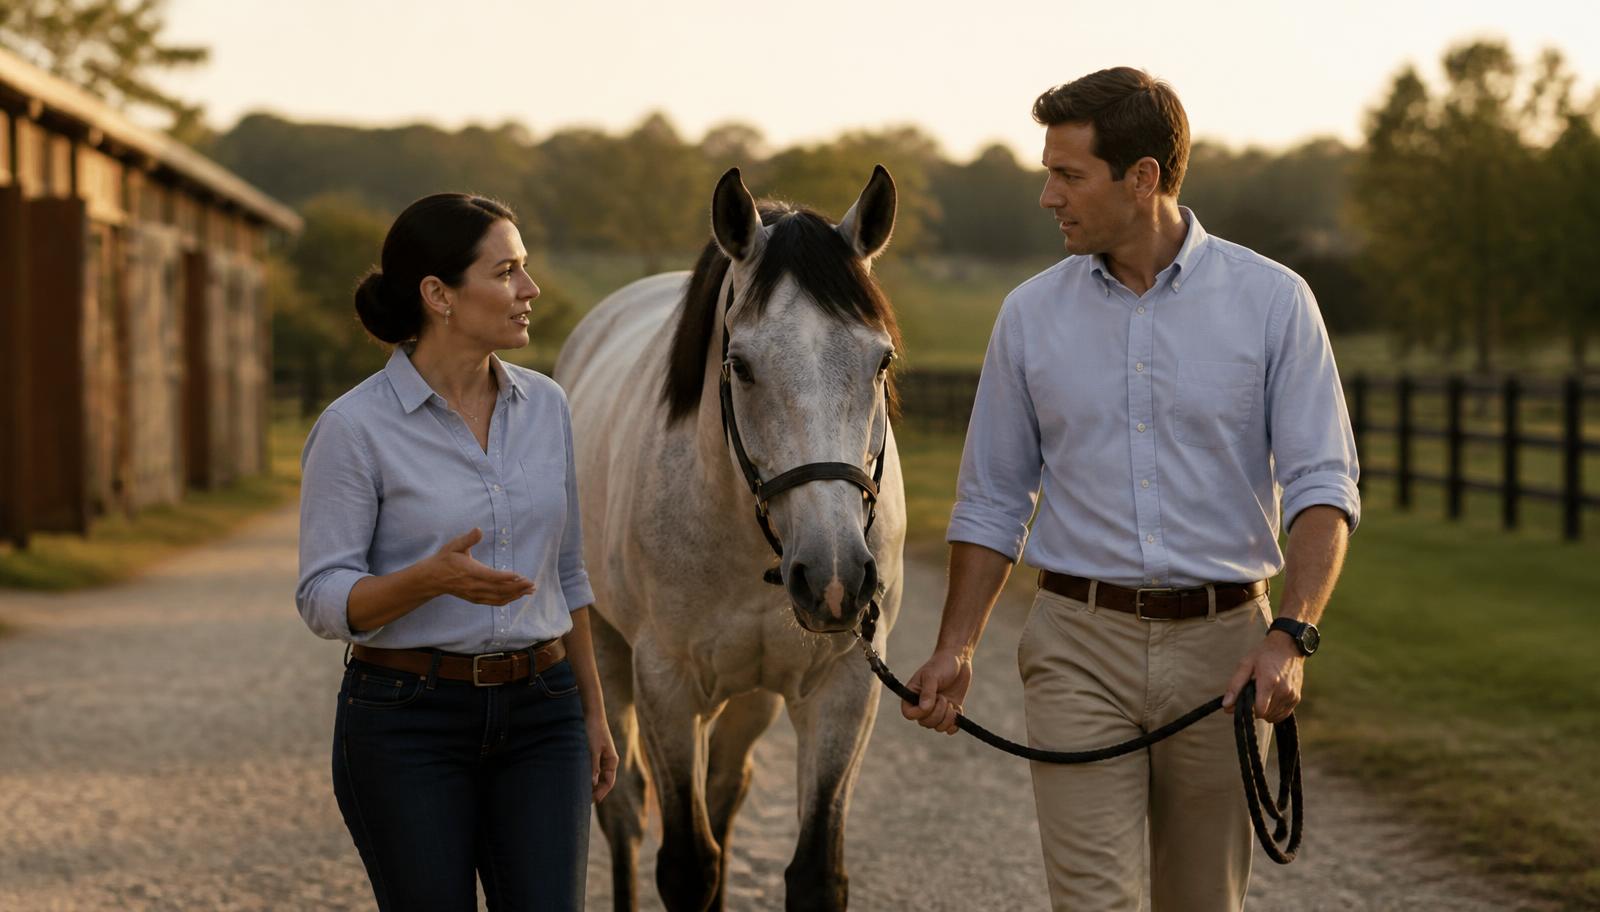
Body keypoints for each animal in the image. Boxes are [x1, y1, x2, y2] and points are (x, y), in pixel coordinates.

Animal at [554, 166, 906, 912]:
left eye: (881, 360)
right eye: (740, 364)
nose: (835, 577)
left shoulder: (842, 686)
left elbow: (815, 872)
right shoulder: (667, 683)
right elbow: (688, 865)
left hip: (753, 694)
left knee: (724, 792)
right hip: (606, 650)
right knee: (624, 810)